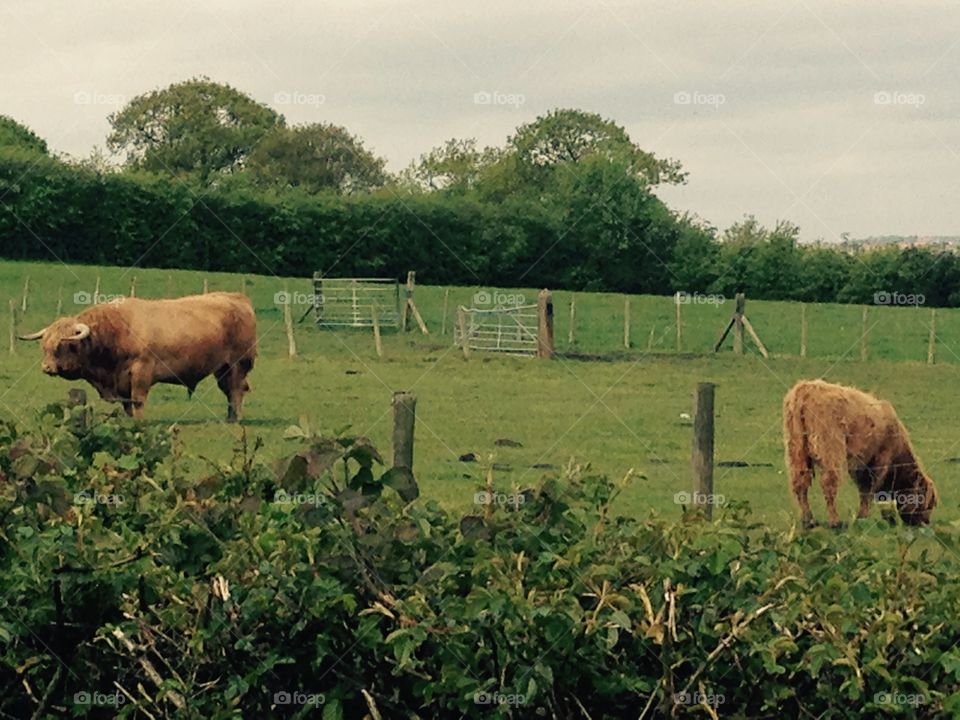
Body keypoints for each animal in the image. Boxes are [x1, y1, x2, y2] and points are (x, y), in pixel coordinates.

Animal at [20, 292, 256, 421]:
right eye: (45, 346)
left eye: (65, 345)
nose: (47, 367)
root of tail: (236, 297)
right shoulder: (121, 380)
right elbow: (127, 403)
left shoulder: (142, 370)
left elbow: (138, 399)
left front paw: (140, 422)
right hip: (222, 369)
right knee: (229, 391)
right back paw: (229, 417)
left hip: (237, 365)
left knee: (236, 390)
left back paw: (236, 419)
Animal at [783, 379, 937, 528]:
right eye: (927, 504)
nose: (925, 522)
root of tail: (805, 389)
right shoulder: (879, 461)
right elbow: (870, 490)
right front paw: (866, 518)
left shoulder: (862, 465)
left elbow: (865, 489)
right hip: (830, 448)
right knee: (829, 482)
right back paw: (835, 522)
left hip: (797, 449)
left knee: (800, 482)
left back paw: (808, 520)